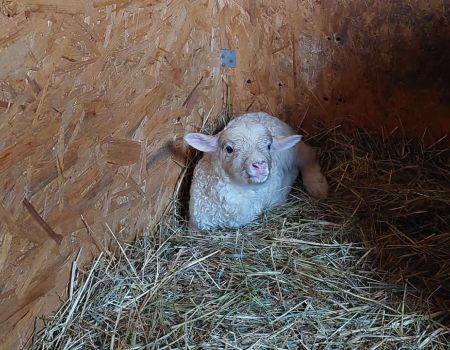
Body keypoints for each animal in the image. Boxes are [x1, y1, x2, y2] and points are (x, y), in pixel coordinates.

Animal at [185, 112, 328, 231]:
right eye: (229, 149)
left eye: (269, 146)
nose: (259, 164)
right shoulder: (196, 223)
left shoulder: (277, 199)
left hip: (298, 151)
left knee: (309, 156)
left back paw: (318, 186)